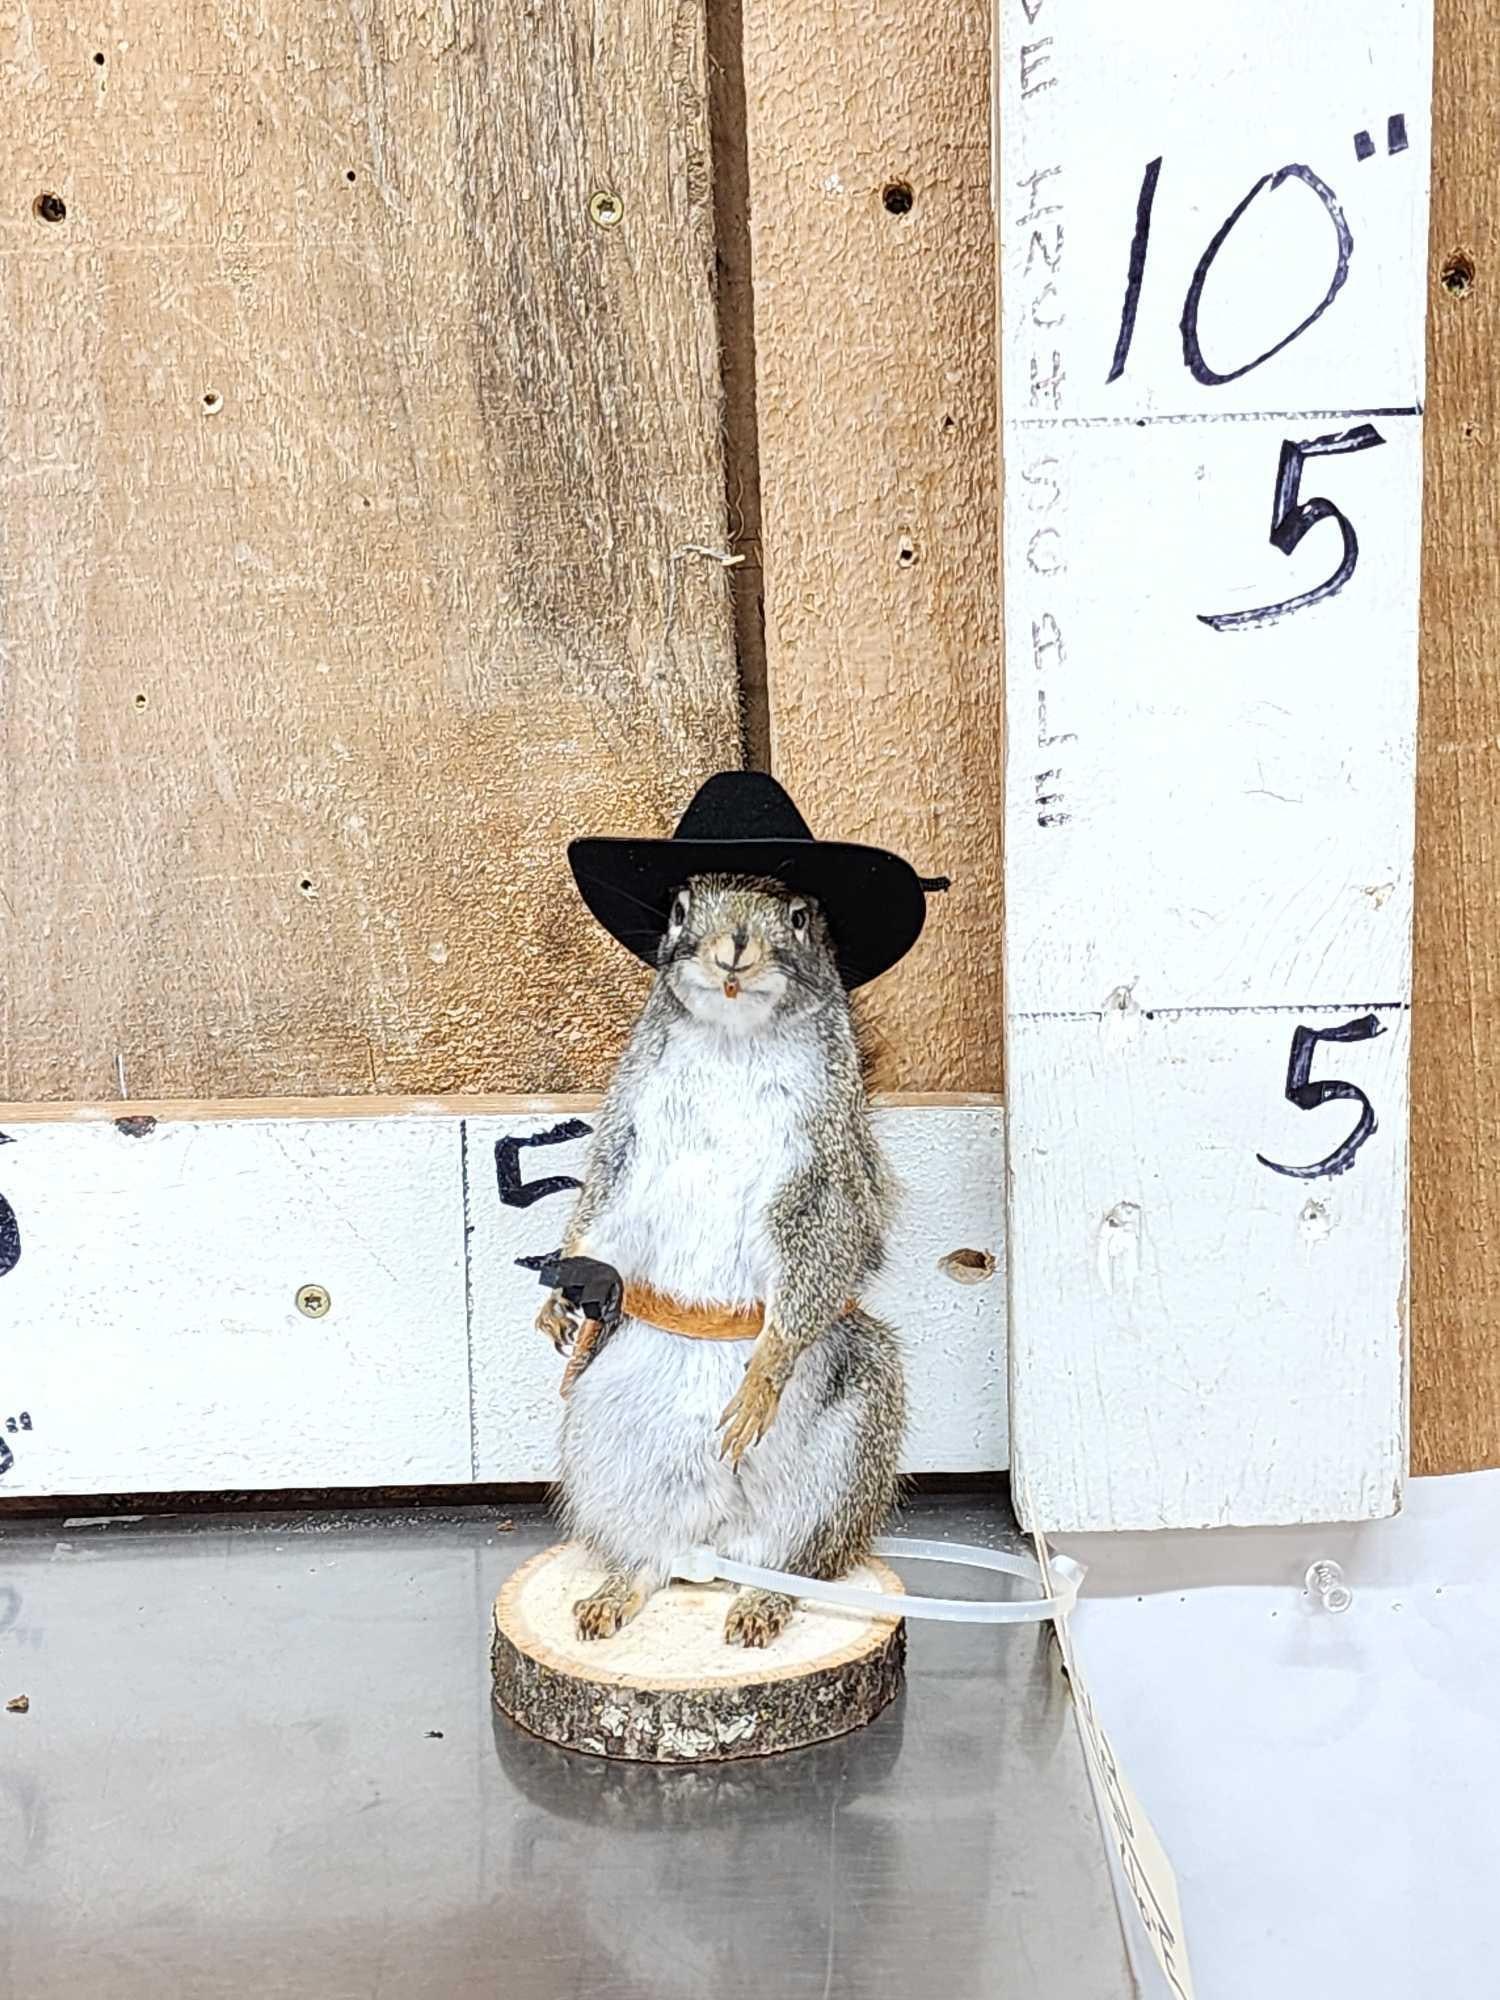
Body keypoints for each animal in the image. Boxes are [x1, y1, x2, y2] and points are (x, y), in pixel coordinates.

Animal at [537, 873, 906, 1649]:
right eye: (680, 908)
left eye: (798, 917)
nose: (733, 948)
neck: (735, 1043)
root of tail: (715, 1547)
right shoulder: (628, 1145)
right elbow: (600, 1219)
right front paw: (556, 1301)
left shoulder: (822, 1173)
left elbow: (820, 1255)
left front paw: (762, 1376)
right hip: (606, 1452)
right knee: (649, 1559)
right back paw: (615, 1592)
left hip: (846, 1453)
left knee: (799, 1560)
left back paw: (762, 1603)